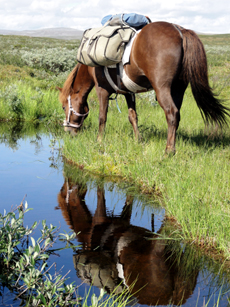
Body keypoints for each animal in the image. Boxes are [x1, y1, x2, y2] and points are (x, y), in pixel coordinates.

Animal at [58, 21, 230, 153]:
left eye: (64, 107)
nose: (68, 130)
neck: (91, 67)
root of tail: (180, 30)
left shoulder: (102, 90)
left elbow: (102, 117)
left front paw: (99, 140)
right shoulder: (128, 92)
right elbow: (132, 116)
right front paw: (138, 139)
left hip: (162, 88)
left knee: (171, 113)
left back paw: (169, 151)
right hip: (179, 89)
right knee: (177, 115)